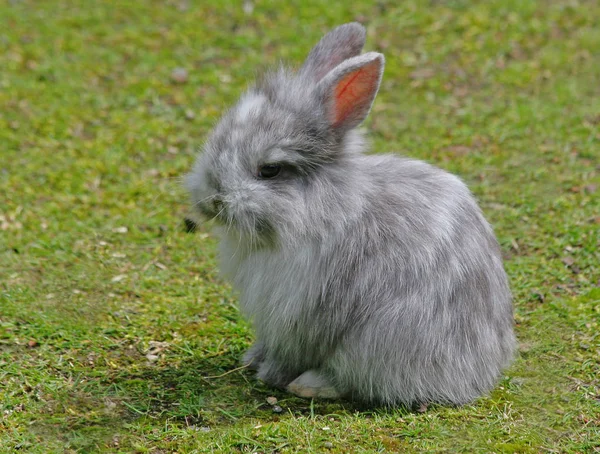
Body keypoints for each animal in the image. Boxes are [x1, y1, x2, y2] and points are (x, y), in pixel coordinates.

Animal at [188, 21, 516, 406]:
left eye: (269, 171)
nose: (210, 200)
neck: (318, 209)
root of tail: (479, 374)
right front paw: (252, 358)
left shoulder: (302, 314)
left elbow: (291, 352)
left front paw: (270, 374)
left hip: (377, 342)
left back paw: (309, 384)